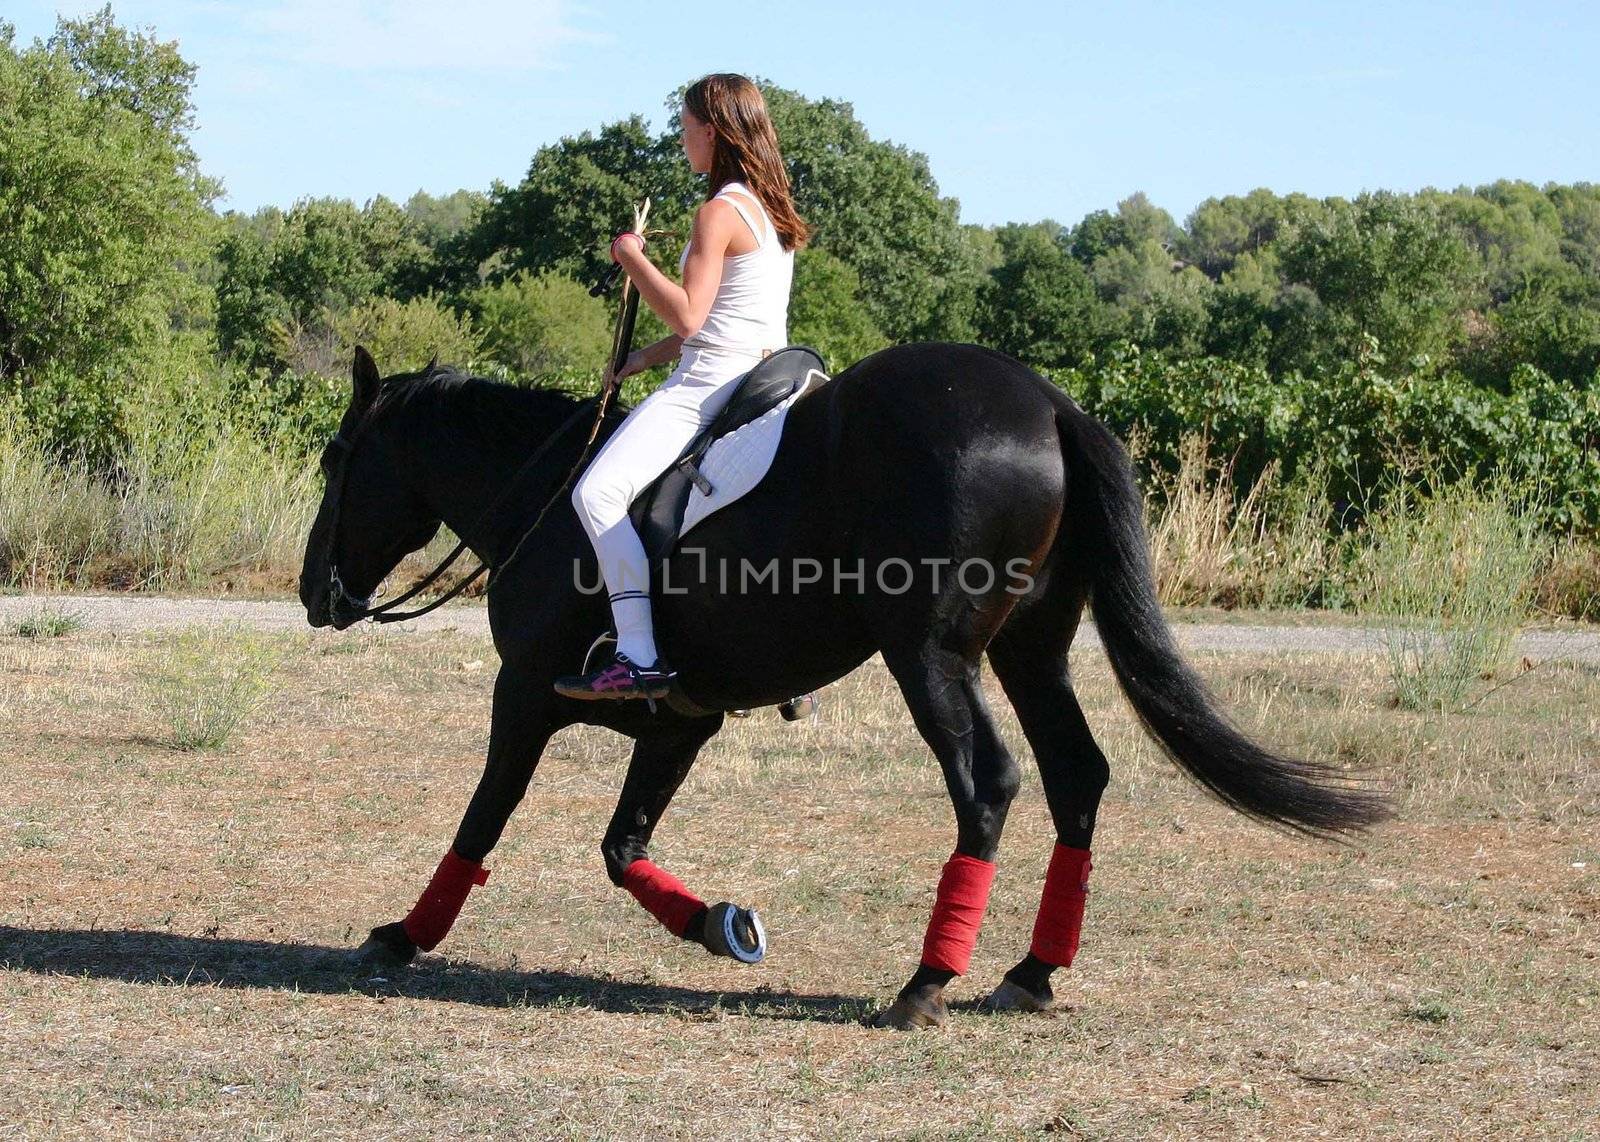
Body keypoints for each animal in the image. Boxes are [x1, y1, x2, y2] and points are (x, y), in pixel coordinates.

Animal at [300, 342, 1388, 1030]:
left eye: (335, 457)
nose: (316, 592)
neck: (545, 495)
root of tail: (1050, 404)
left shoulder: (522, 694)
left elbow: (481, 821)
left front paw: (404, 933)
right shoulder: (679, 722)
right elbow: (622, 847)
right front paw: (719, 924)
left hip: (931, 656)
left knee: (987, 783)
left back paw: (927, 980)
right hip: (1030, 650)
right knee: (1076, 774)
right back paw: (1030, 971)